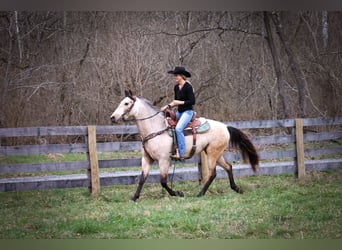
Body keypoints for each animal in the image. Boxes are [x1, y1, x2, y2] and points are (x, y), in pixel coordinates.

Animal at [110, 90, 260, 201]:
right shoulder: (147, 159)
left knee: (213, 173)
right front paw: (134, 197)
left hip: (212, 154)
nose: (112, 117)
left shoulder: (164, 160)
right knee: (228, 167)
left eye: (126, 103)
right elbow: (142, 179)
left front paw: (178, 193)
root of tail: (225, 126)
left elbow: (163, 181)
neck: (155, 128)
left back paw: (200, 193)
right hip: (215, 153)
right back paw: (237, 188)